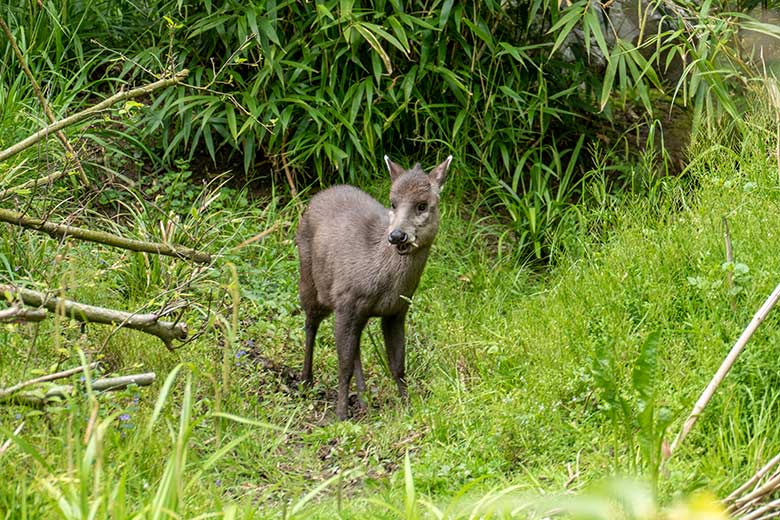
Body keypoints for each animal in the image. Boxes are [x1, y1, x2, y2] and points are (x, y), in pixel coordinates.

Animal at [296, 153, 454, 418]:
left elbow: (398, 364)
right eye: (393, 203)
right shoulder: (345, 301)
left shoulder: (397, 310)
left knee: (356, 346)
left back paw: (363, 401)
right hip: (310, 280)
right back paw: (306, 381)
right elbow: (344, 366)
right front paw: (340, 415)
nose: (397, 235)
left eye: (422, 205)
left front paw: (408, 405)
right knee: (310, 323)